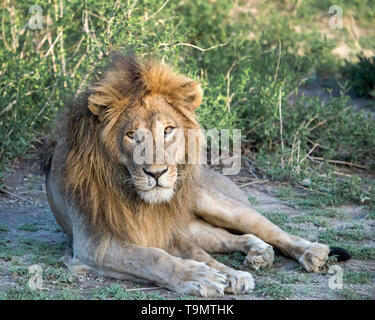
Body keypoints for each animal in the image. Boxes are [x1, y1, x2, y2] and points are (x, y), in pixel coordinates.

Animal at [42, 53, 352, 298]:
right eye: (131, 135)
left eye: (168, 130)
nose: (156, 173)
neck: (139, 199)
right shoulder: (95, 243)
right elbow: (153, 257)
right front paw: (207, 276)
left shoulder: (163, 232)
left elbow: (186, 255)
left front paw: (223, 275)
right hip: (194, 225)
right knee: (233, 238)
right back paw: (258, 255)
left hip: (213, 202)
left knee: (268, 229)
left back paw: (312, 253)